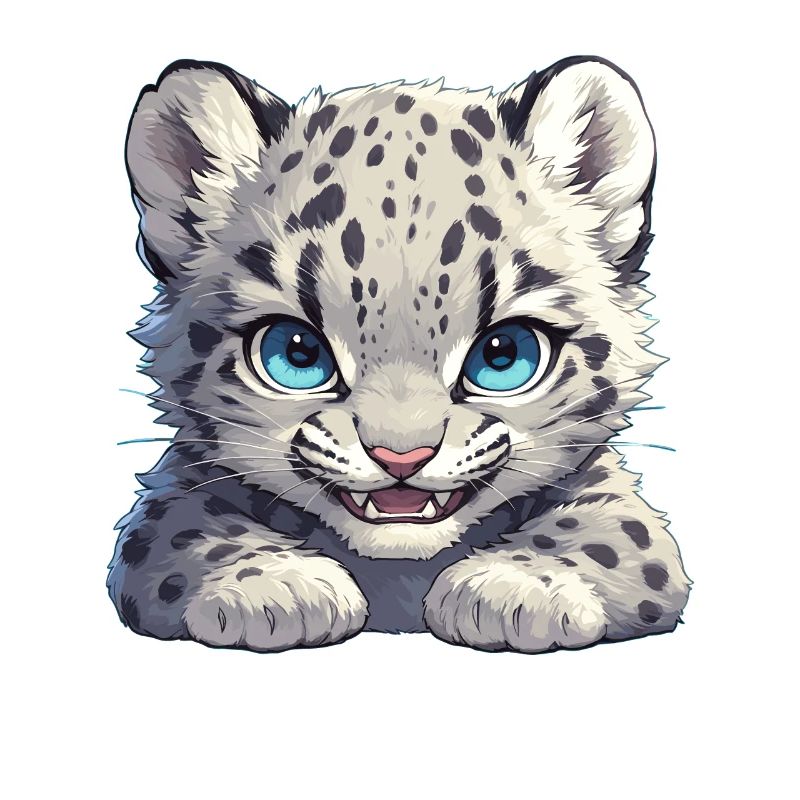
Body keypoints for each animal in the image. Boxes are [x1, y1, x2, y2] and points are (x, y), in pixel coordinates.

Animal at [108, 55, 690, 653]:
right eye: (295, 352)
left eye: (505, 354)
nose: (402, 457)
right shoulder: (171, 496)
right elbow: (190, 528)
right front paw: (274, 586)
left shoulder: (614, 499)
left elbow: (611, 532)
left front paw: (517, 587)